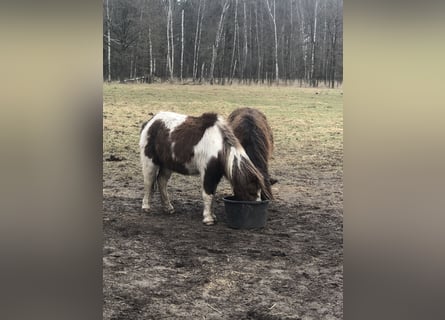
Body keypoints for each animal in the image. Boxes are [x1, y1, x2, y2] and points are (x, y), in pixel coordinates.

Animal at [139, 112, 270, 225]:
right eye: (251, 191)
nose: (257, 208)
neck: (220, 148)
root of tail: (150, 122)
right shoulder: (208, 173)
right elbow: (207, 194)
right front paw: (208, 219)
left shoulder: (216, 175)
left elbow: (212, 194)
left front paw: (212, 216)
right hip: (150, 162)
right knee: (149, 183)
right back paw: (146, 207)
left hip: (167, 165)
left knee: (161, 182)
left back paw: (168, 208)